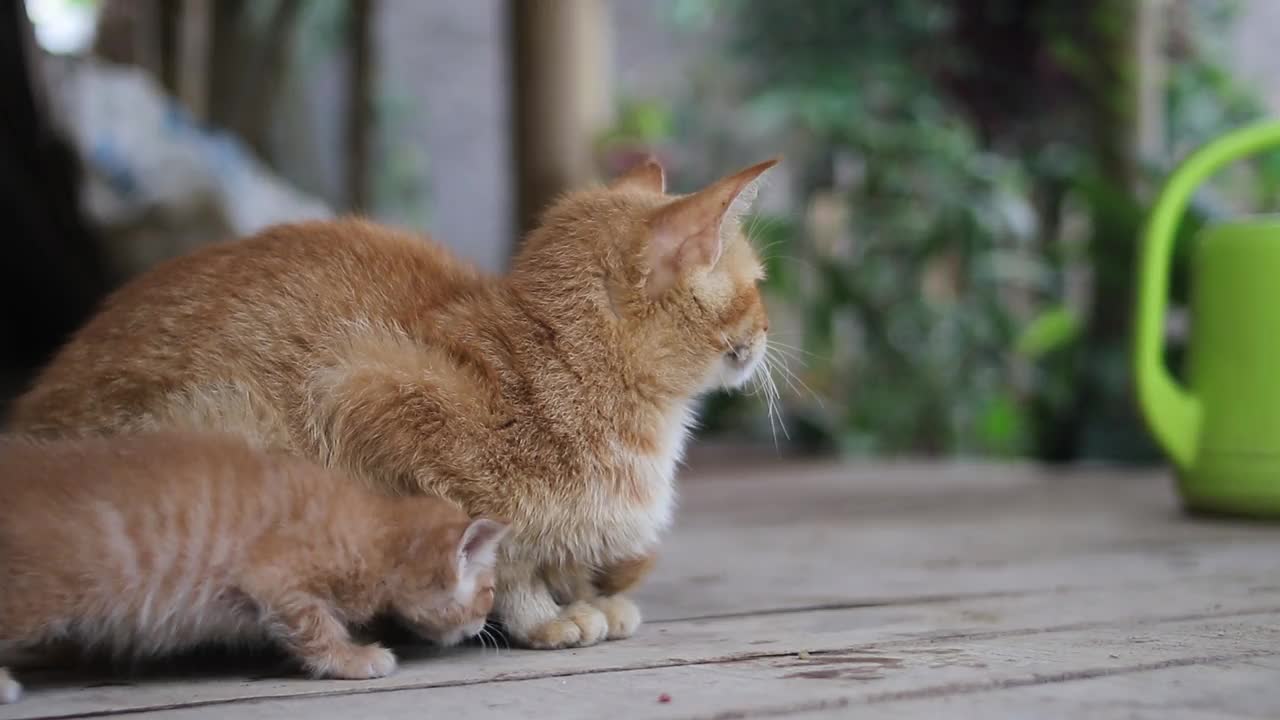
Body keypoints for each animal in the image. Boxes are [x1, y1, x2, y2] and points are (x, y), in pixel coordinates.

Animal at [0, 425, 506, 702]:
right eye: (488, 592)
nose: (485, 625)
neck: (374, 526)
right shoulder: (273, 574)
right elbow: (314, 623)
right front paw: (353, 657)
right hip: (36, 592)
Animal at [10, 158, 773, 650]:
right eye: (757, 284)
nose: (768, 329)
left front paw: (591, 597)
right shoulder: (364, 389)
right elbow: (502, 560)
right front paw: (544, 616)